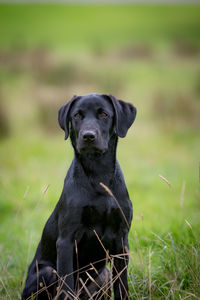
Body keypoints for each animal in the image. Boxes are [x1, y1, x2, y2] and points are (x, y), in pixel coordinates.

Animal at [22, 92, 138, 298]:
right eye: (76, 115)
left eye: (104, 114)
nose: (88, 136)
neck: (98, 175)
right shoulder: (66, 241)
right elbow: (66, 287)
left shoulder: (121, 240)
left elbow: (122, 286)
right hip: (47, 271)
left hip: (103, 275)